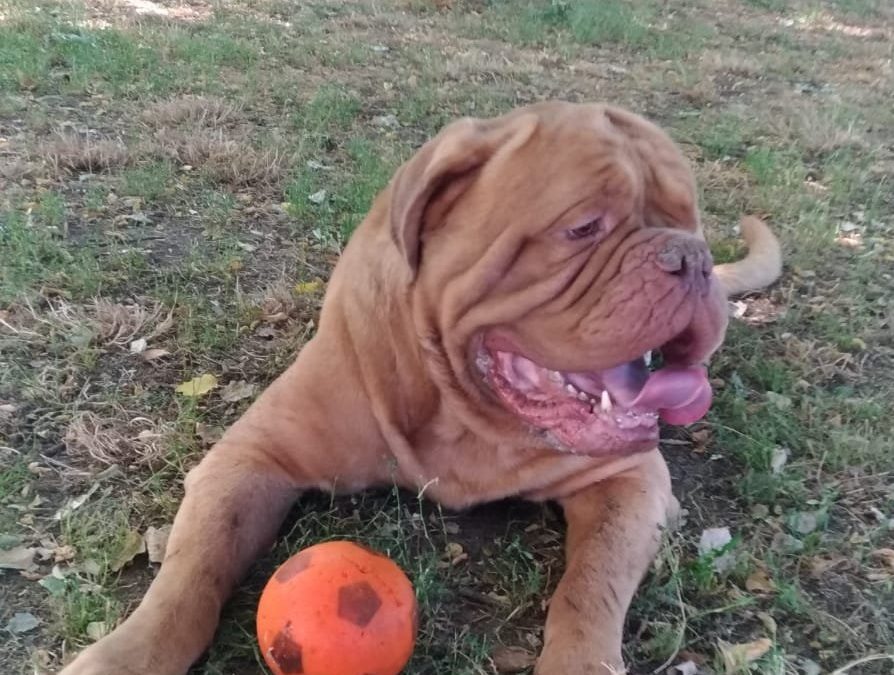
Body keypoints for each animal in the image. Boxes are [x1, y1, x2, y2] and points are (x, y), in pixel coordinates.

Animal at [59, 100, 780, 675]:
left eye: (690, 218)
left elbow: (590, 586)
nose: (692, 256)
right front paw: (126, 655)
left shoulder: (627, 480)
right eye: (583, 228)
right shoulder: (254, 455)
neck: (459, 408)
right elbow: (190, 572)